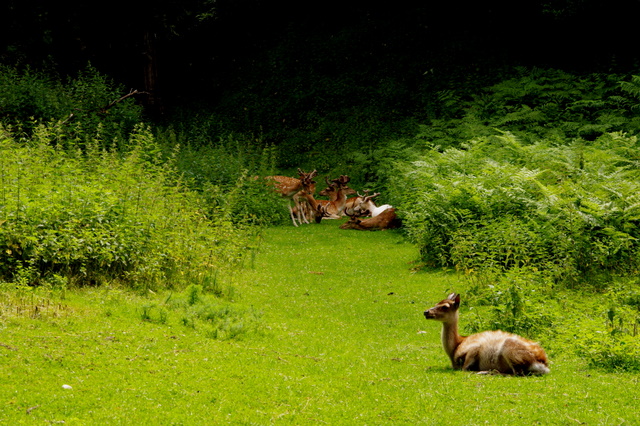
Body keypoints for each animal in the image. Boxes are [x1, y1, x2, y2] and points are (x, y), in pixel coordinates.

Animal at [424, 292, 552, 376]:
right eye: (437, 303)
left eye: (445, 307)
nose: (426, 312)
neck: (456, 346)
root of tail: (544, 364)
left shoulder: (474, 348)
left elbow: (464, 368)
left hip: (511, 350)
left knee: (517, 373)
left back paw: (485, 371)